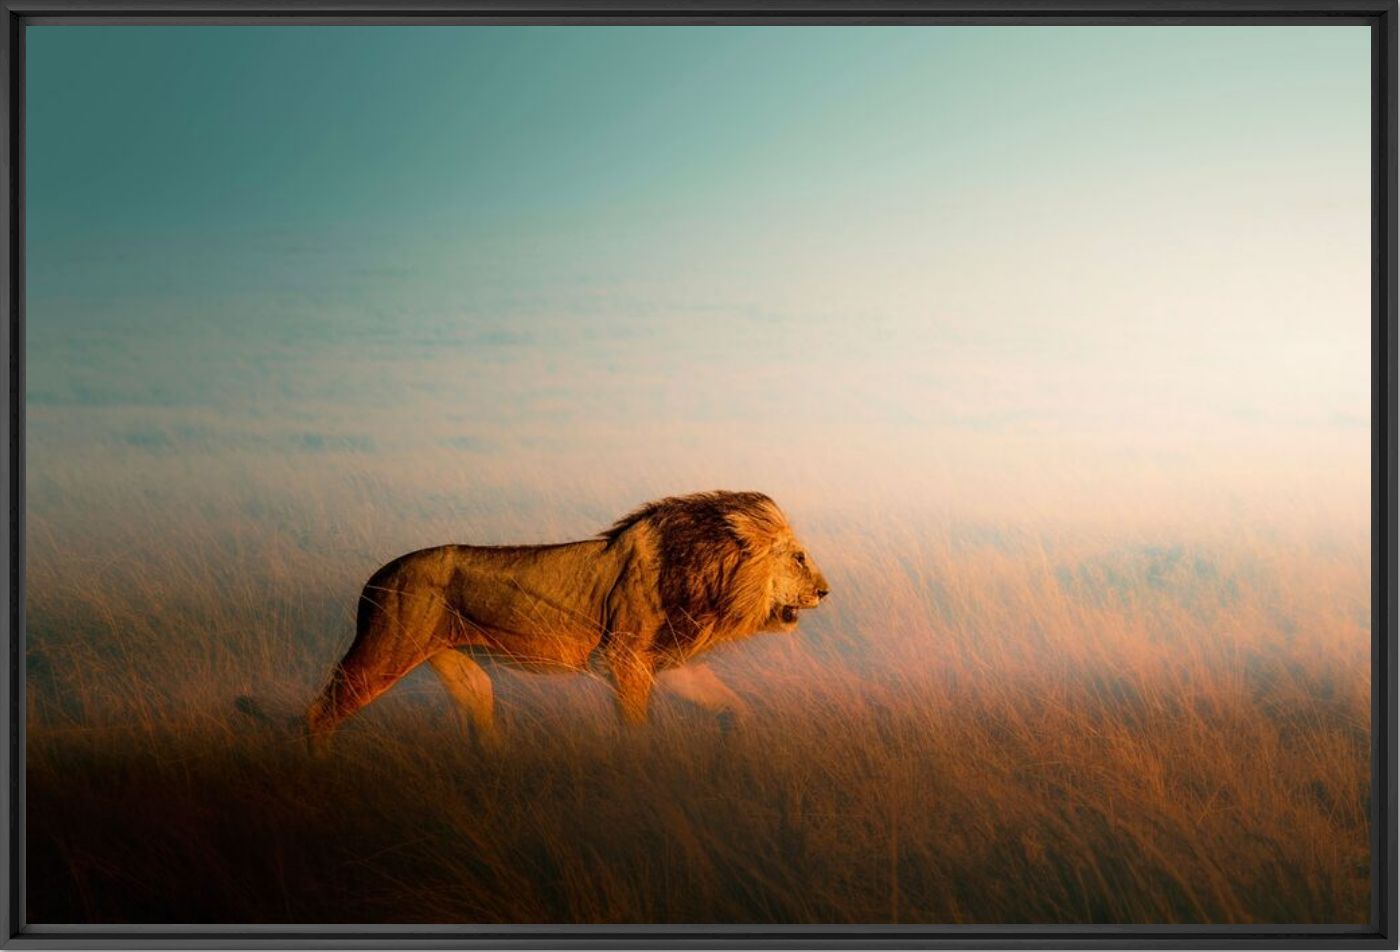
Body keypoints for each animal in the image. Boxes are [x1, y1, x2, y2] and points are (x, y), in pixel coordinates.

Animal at [306, 491, 830, 748]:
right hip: (387, 650)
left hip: (459, 666)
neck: (707, 573)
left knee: (479, 709)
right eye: (799, 556)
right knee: (319, 713)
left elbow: (733, 706)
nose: (825, 591)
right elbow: (635, 726)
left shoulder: (671, 663)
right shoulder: (625, 659)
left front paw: (735, 744)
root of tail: (375, 576)